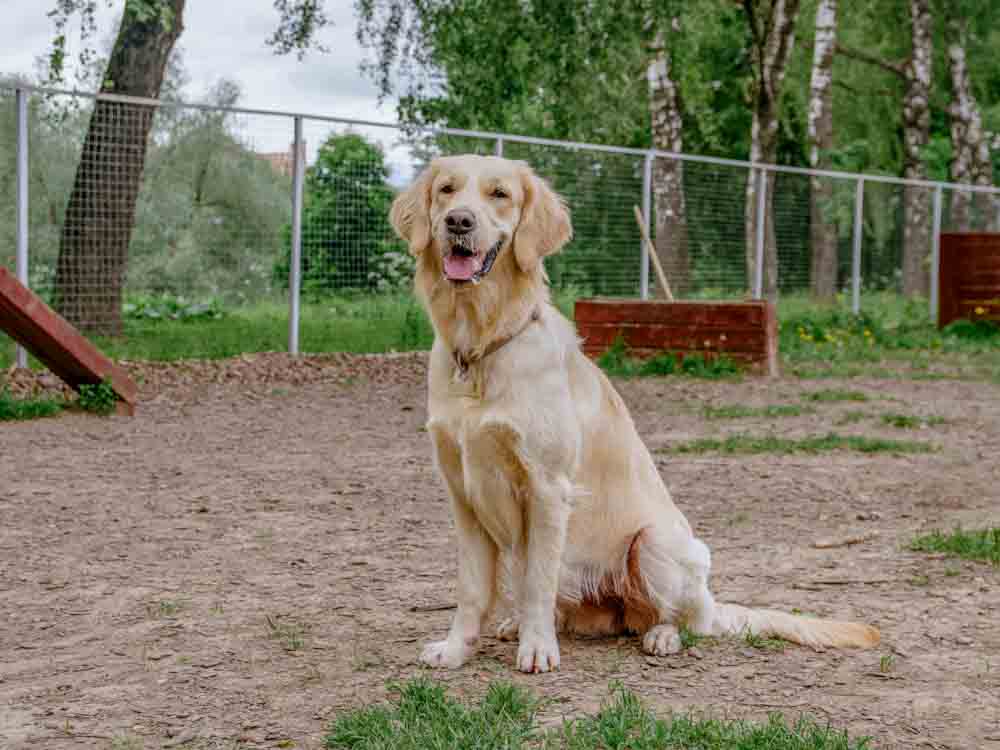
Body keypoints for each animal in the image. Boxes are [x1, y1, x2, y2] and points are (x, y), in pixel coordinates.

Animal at [388, 154, 876, 676]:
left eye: (499, 195)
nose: (458, 221)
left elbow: (538, 581)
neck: (480, 348)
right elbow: (472, 587)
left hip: (655, 543)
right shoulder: (463, 491)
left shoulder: (547, 487)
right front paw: (456, 648)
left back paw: (660, 636)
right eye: (446, 190)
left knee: (683, 619)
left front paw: (537, 650)